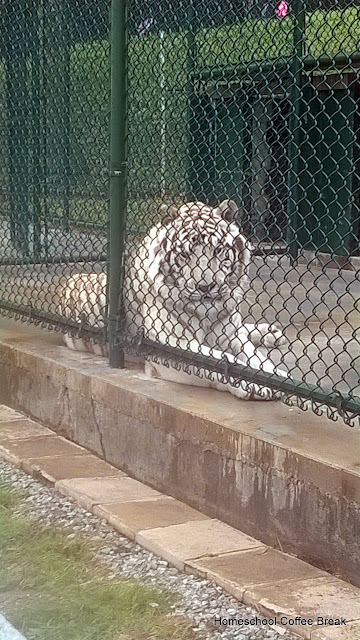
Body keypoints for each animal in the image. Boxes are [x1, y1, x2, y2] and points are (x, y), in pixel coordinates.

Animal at [62, 200, 286, 400]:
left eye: (217, 250)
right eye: (185, 254)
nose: (205, 287)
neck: (208, 314)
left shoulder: (232, 334)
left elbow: (255, 357)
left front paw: (277, 375)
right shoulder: (169, 348)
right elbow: (216, 361)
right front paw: (254, 386)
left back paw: (271, 333)